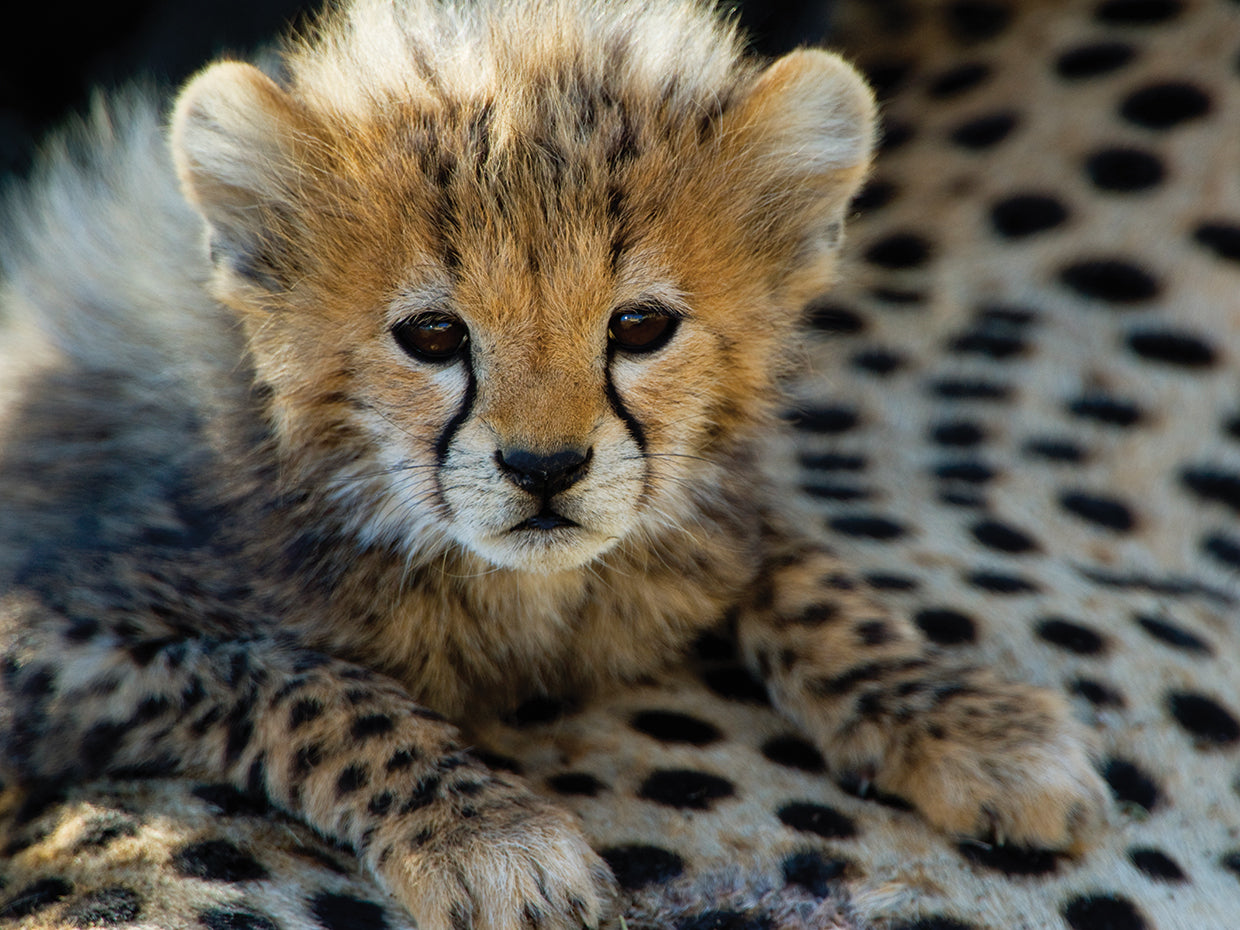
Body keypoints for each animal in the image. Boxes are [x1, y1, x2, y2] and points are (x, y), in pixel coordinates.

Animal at [8, 0, 1238, 928]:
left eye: (639, 327)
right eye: (433, 335)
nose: (544, 468)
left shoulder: (709, 514)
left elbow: (802, 571)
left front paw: (964, 719)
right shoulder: (47, 633)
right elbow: (294, 678)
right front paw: (489, 834)